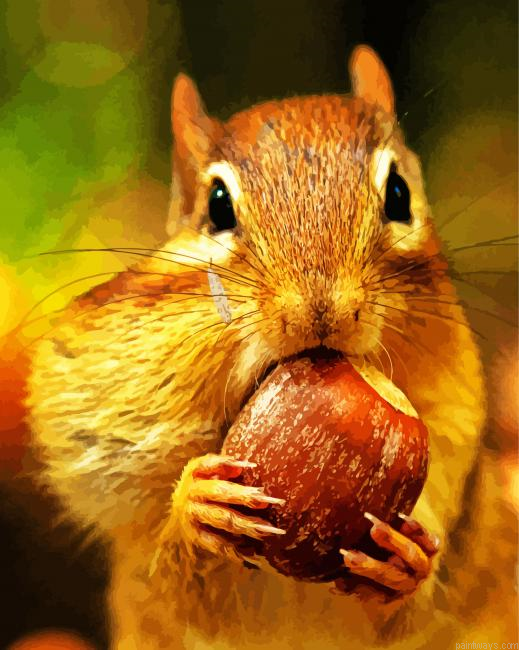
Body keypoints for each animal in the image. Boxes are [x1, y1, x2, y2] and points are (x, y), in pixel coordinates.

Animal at [22, 44, 512, 649]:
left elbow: (410, 610)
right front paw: (195, 508)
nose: (320, 311)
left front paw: (409, 563)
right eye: (217, 205)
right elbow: (177, 585)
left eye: (399, 194)